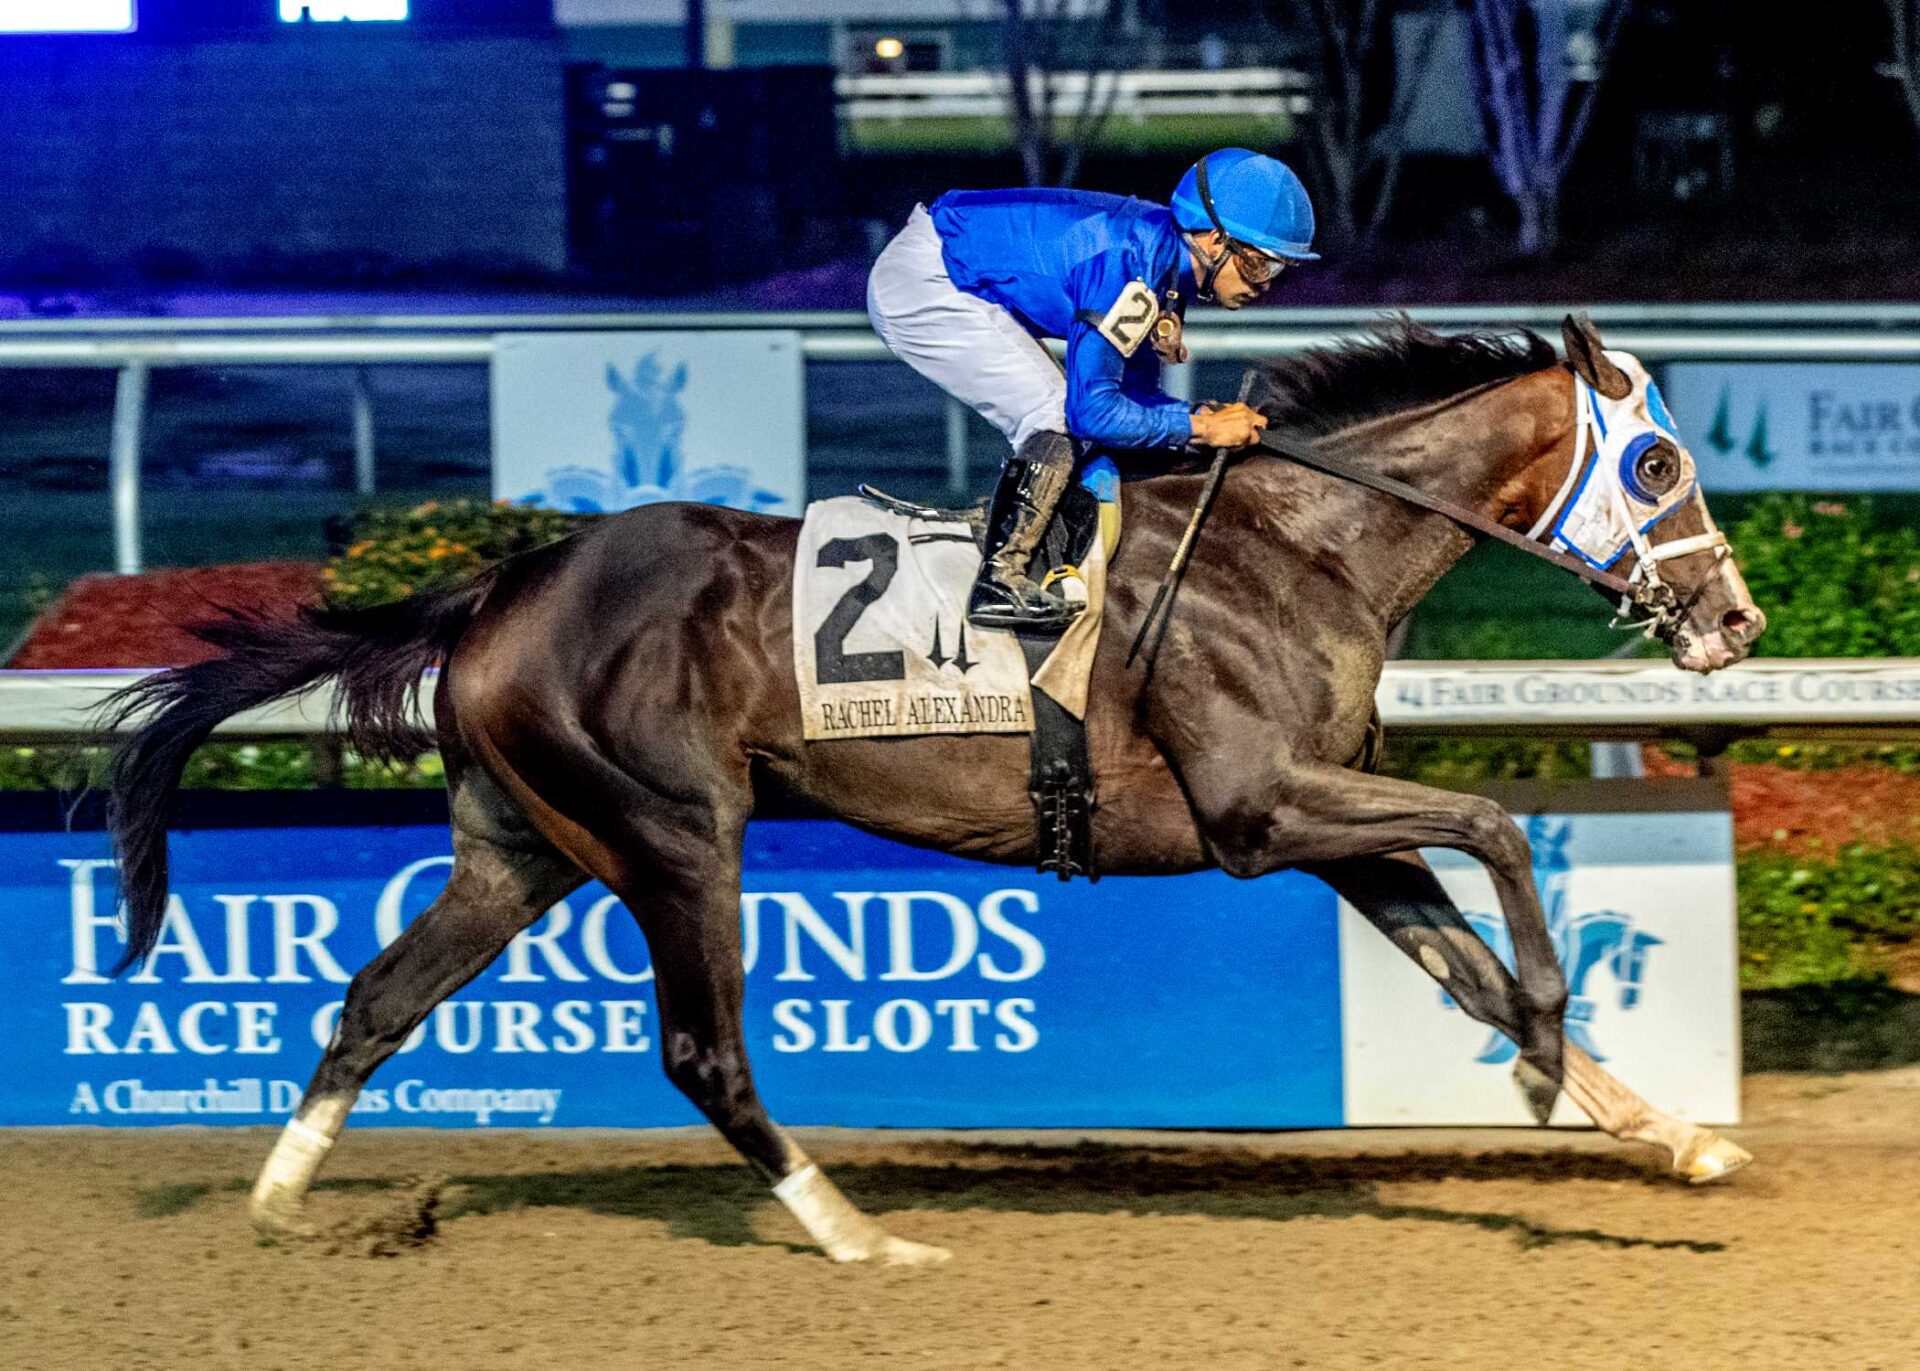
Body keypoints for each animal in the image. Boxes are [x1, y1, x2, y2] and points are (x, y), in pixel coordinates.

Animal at [100, 315, 1765, 1267]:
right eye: (1662, 463)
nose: (1737, 624)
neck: (1299, 545)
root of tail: (504, 580)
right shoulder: (1255, 811)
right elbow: (1496, 831)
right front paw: (1548, 1059)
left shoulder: (1326, 815)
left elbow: (1464, 953)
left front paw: (1669, 1130)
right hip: (675, 831)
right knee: (702, 1048)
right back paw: (859, 1236)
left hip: (523, 846)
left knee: (379, 992)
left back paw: (284, 1201)